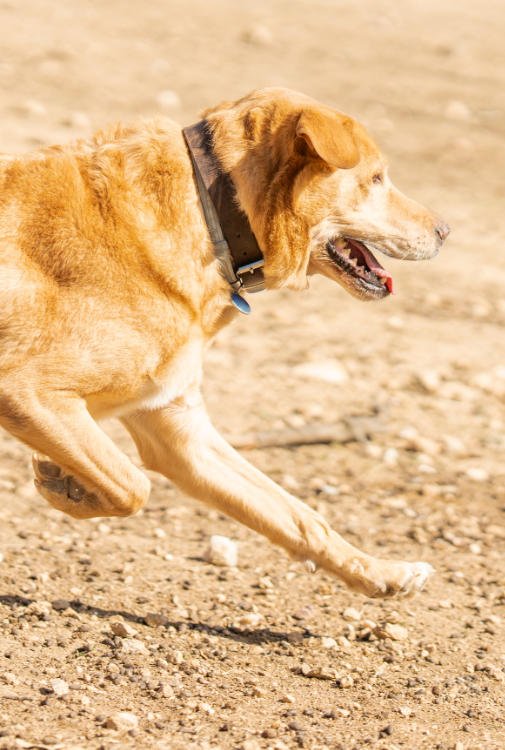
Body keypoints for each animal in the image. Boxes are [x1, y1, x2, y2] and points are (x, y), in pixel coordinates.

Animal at [0, 88, 448, 600]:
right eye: (375, 179)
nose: (445, 231)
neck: (211, 211)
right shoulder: (27, 392)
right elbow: (132, 485)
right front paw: (66, 487)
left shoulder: (178, 427)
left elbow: (297, 515)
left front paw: (381, 572)